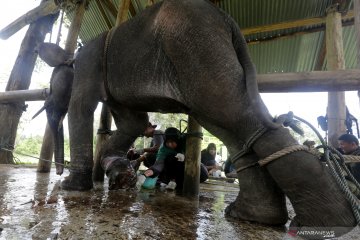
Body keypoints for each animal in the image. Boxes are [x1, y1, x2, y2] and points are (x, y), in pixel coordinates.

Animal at [38, 0, 356, 236]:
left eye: (50, 93)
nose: (59, 174)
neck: (70, 56)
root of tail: (227, 21)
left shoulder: (90, 65)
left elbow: (82, 109)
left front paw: (72, 188)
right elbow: (134, 122)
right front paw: (119, 172)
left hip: (194, 46)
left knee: (233, 113)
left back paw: (328, 225)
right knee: (229, 127)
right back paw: (252, 216)